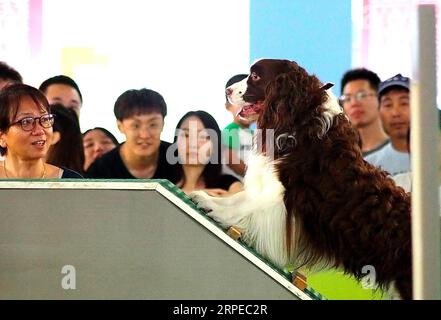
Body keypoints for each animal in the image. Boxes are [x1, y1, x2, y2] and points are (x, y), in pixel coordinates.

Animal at [190, 58, 412, 298]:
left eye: (255, 76)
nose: (227, 90)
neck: (300, 122)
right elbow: (240, 198)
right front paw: (209, 200)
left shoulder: (287, 193)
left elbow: (247, 204)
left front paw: (218, 210)